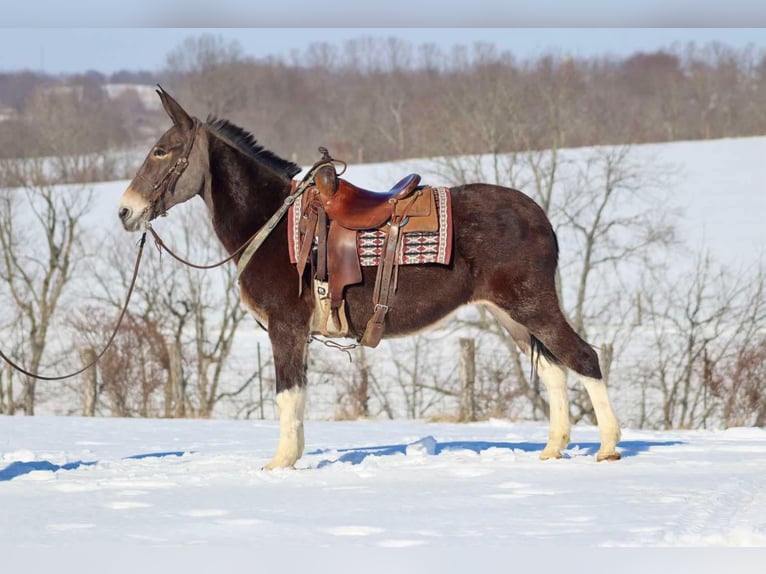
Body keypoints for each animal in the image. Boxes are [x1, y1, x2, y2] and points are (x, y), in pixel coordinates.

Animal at [118, 87, 621, 469]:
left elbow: (286, 394)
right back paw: (553, 449)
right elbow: (297, 396)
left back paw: (608, 447)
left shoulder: (285, 326)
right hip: (511, 315)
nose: (125, 211)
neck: (274, 223)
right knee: (554, 369)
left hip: (532, 304)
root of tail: (538, 216)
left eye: (161, 150)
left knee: (584, 358)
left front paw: (280, 463)